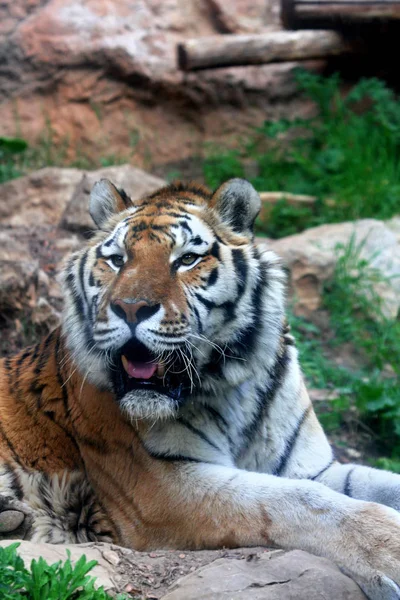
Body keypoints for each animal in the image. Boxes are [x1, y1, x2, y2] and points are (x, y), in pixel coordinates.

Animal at [0, 179, 400, 600]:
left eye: (187, 259)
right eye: (117, 260)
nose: (130, 307)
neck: (231, 384)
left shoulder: (313, 467)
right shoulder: (160, 486)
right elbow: (293, 500)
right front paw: (389, 548)